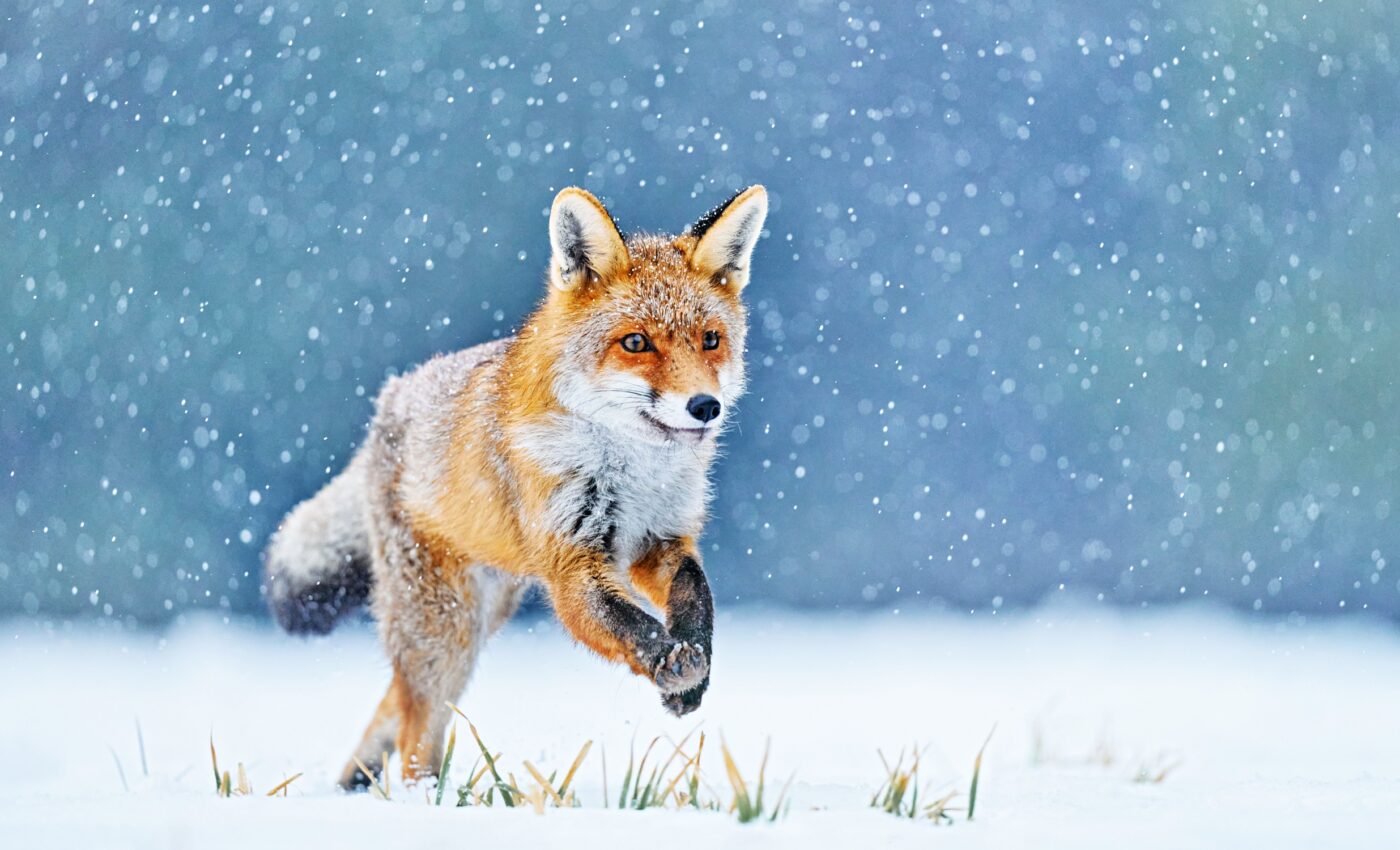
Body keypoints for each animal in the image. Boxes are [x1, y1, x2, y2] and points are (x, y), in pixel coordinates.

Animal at [263, 184, 768, 790]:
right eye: (636, 342)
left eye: (711, 340)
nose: (705, 406)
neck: (633, 473)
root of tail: (389, 402)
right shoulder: (571, 563)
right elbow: (628, 624)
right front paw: (670, 663)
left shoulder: (661, 539)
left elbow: (698, 598)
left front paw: (695, 671)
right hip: (444, 628)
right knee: (415, 732)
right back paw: (420, 798)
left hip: (478, 618)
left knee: (396, 706)